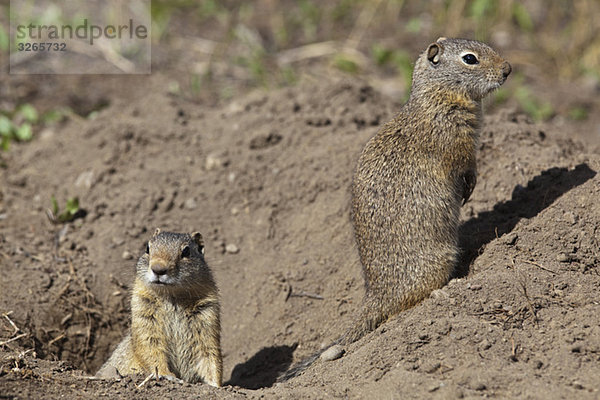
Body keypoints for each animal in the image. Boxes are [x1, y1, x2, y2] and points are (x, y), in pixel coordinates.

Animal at [96, 228, 223, 388]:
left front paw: (215, 385)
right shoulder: (143, 313)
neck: (171, 296)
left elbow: (210, 356)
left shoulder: (207, 316)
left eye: (186, 251)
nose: (158, 269)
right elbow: (151, 349)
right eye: (147, 248)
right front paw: (166, 375)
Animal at [282, 37, 510, 382]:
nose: (508, 69)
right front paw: (470, 187)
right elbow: (466, 165)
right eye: (470, 59)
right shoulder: (457, 146)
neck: (437, 96)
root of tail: (376, 296)